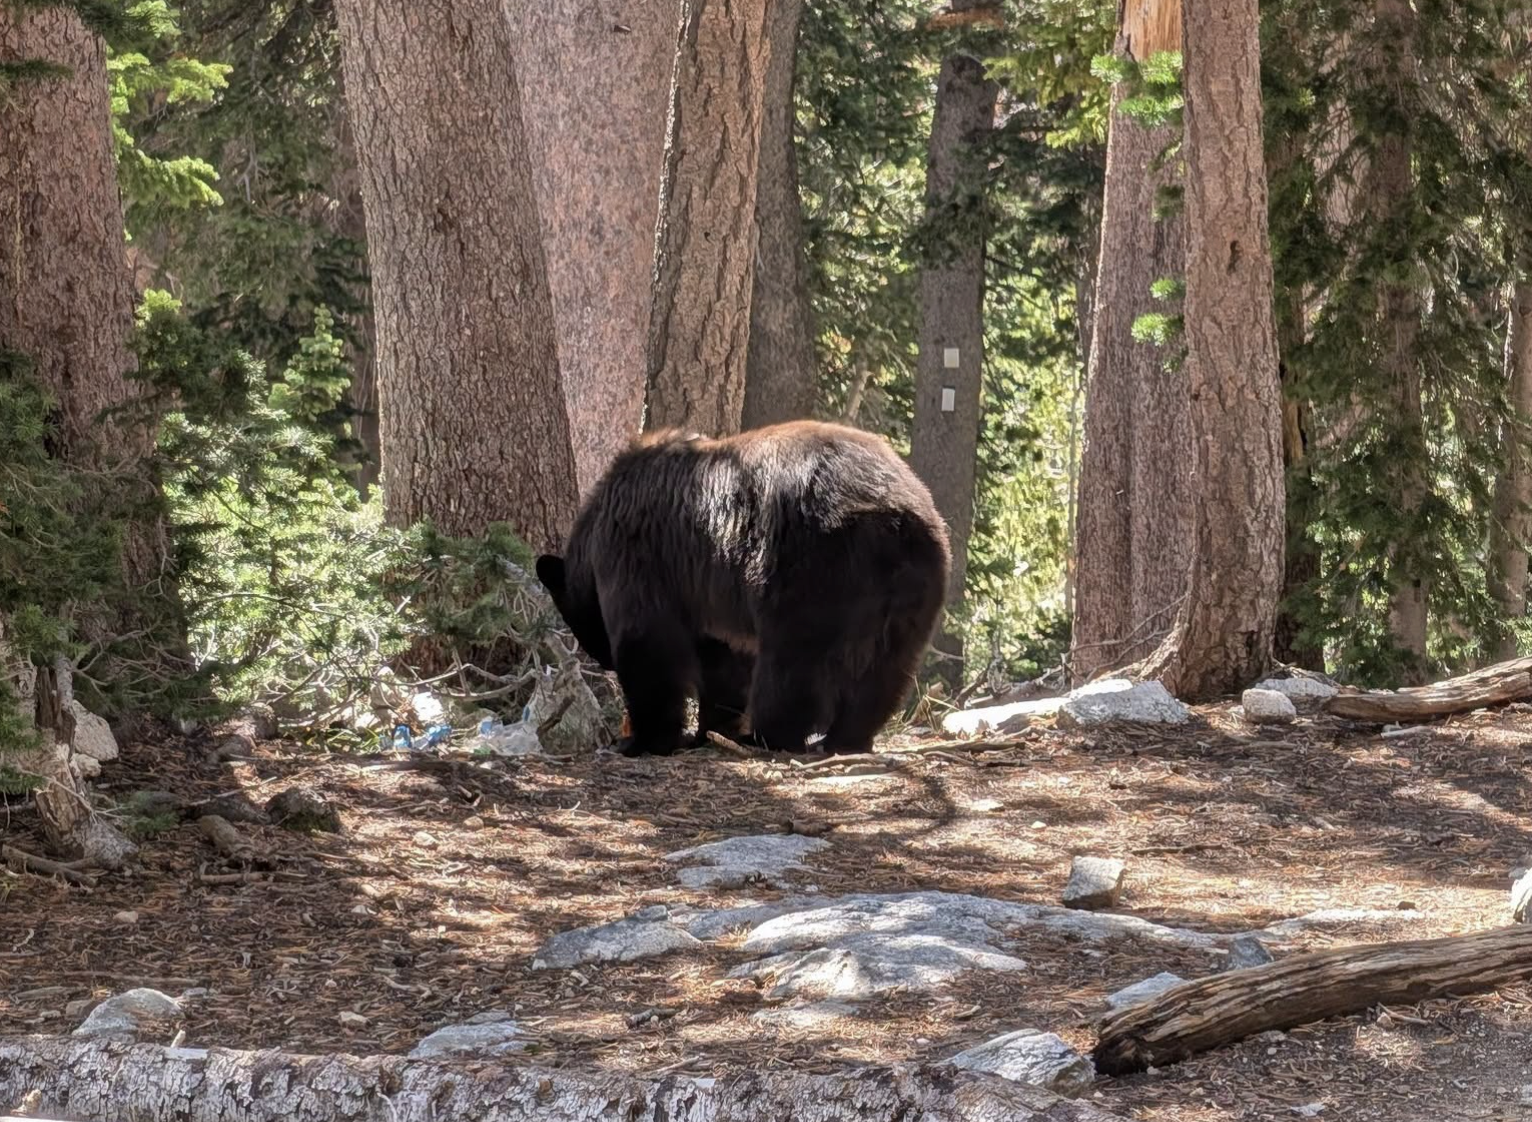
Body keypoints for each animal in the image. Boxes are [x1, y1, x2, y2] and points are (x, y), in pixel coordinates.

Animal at [535, 420, 950, 757]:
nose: (603, 661)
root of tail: (891, 513)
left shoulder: (638, 556)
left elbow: (648, 643)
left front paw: (643, 739)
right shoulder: (707, 597)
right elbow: (723, 660)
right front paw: (709, 729)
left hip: (810, 565)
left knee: (792, 661)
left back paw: (768, 736)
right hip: (917, 582)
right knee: (886, 667)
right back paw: (846, 737)